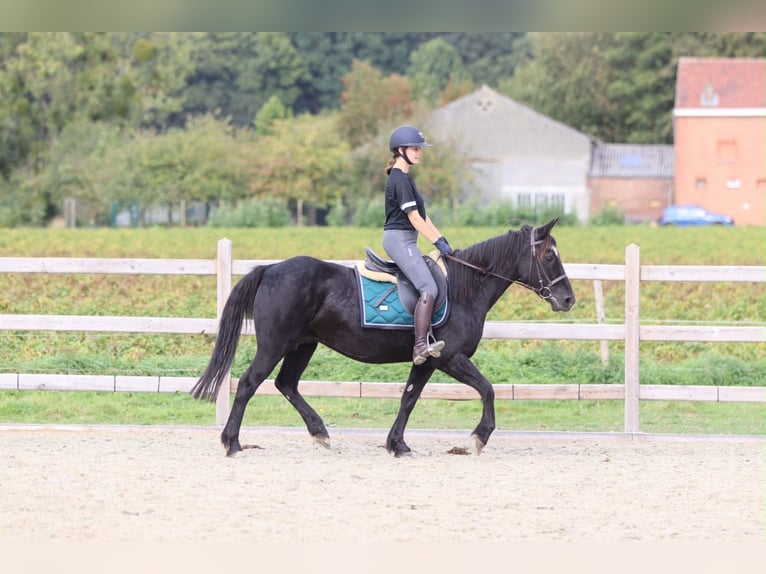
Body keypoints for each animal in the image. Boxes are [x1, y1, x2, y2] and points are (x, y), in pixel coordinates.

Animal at [191, 218, 576, 457]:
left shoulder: (427, 361)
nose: (568, 299)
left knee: (286, 384)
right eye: (549, 256)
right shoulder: (450, 357)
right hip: (275, 345)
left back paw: (319, 432)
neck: (465, 288)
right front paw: (480, 437)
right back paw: (232, 443)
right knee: (248, 384)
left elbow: (409, 398)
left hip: (303, 345)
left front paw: (397, 444)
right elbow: (487, 389)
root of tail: (270, 269)